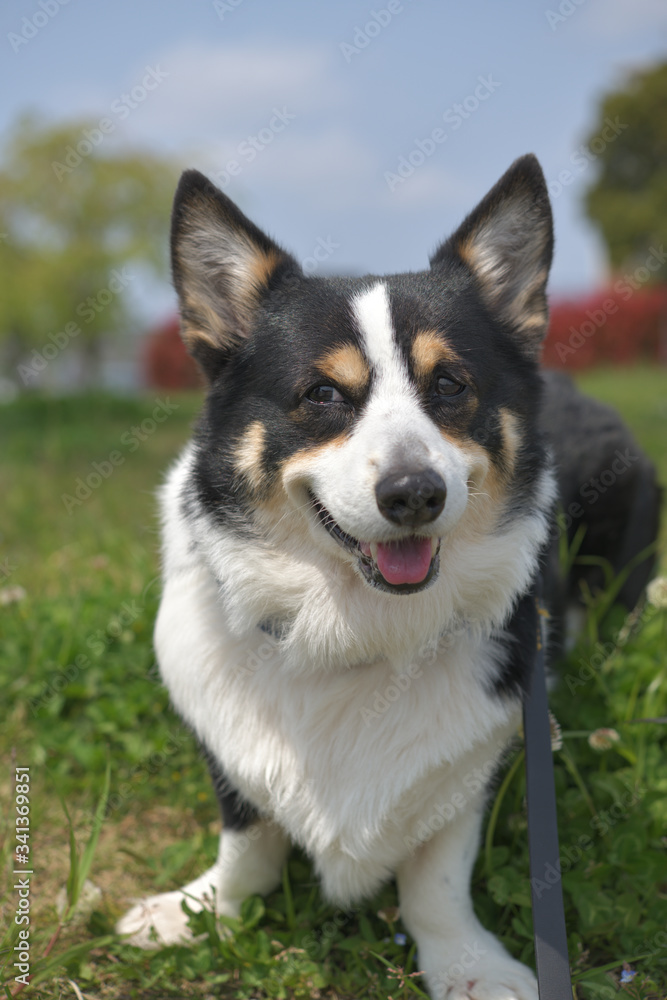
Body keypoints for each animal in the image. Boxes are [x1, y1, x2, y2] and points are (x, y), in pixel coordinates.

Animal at [117, 156, 660, 1000]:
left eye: (450, 385)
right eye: (321, 394)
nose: (413, 495)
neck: (351, 631)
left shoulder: (478, 763)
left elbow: (435, 875)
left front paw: (469, 966)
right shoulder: (228, 756)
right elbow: (247, 842)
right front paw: (198, 911)